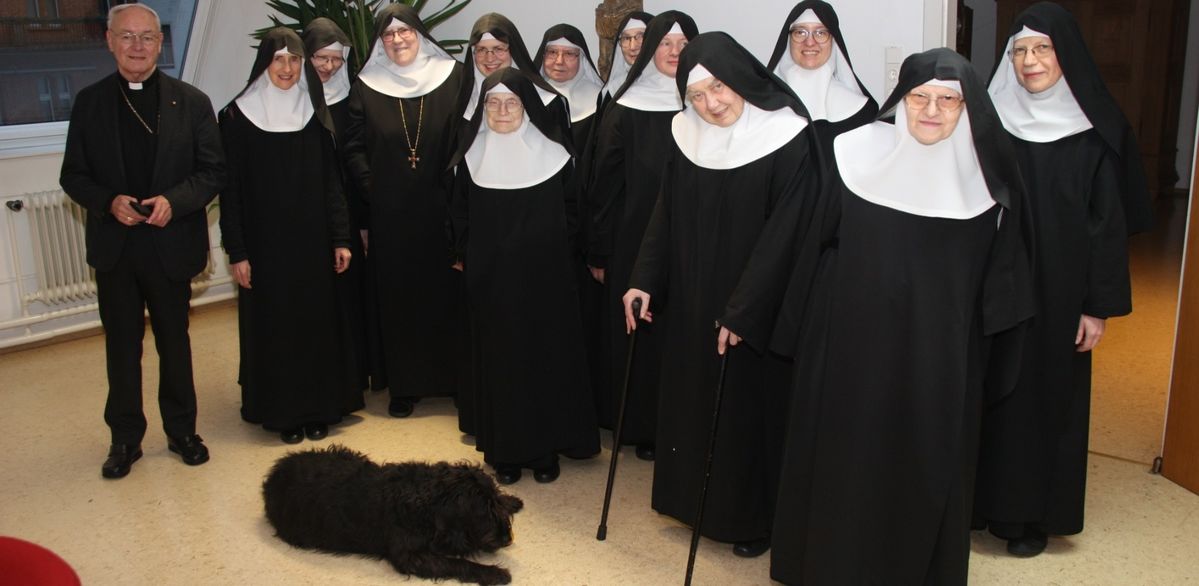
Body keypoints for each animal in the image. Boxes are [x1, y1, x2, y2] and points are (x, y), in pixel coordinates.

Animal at [262, 443, 525, 584]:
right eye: (483, 514)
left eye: (494, 504)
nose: (507, 538)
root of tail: (273, 475)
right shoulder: (409, 556)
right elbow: (455, 563)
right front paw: (493, 572)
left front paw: (511, 500)